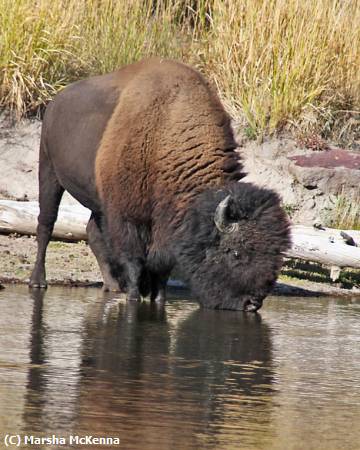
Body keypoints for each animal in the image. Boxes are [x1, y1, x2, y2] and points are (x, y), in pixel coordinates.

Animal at [29, 58, 292, 312]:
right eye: (236, 253)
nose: (252, 304)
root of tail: (55, 102)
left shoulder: (162, 228)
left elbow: (161, 269)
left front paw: (157, 299)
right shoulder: (127, 218)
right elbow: (134, 262)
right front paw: (134, 297)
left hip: (97, 200)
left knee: (92, 231)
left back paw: (112, 286)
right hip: (49, 172)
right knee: (46, 224)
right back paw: (38, 281)